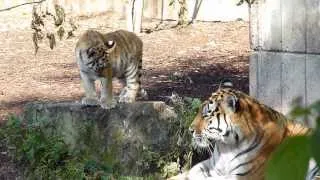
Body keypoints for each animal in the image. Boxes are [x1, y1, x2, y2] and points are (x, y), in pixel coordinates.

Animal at [169, 86, 318, 179]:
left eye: (206, 114)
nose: (190, 129)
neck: (226, 146)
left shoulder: (243, 176)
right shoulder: (211, 164)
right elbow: (191, 171)